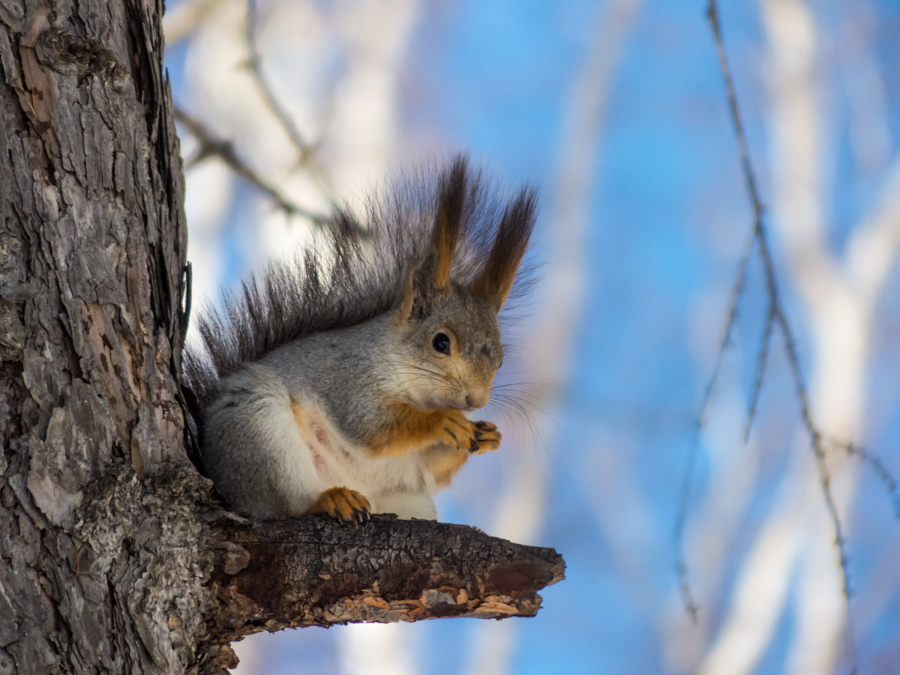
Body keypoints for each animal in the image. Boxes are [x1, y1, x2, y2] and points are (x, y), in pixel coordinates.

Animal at [183, 157, 536, 524]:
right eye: (441, 343)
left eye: (501, 359)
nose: (475, 400)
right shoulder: (349, 379)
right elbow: (373, 426)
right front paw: (442, 421)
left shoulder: (416, 461)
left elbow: (431, 469)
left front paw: (488, 434)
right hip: (258, 430)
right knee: (287, 505)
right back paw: (331, 499)